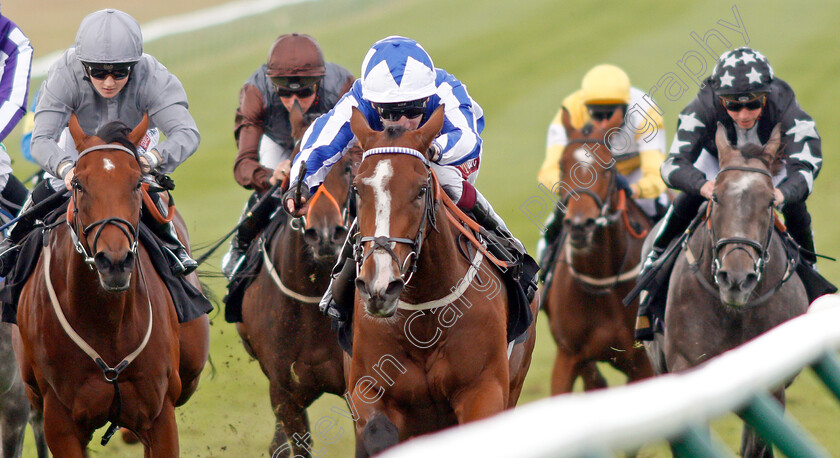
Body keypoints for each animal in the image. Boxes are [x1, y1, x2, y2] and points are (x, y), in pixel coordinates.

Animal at [13, 113, 210, 454]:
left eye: (137, 183)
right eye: (78, 184)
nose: (114, 262)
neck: (106, 322)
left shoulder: (159, 416)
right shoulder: (60, 423)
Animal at [346, 105, 540, 456]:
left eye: (421, 189)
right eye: (357, 189)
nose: (380, 285)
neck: (424, 317)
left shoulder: (483, 390)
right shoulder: (368, 390)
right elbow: (378, 431)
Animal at [648, 122, 808, 458]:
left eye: (770, 202)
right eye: (717, 198)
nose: (735, 278)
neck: (734, 314)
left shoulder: (769, 389)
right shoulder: (685, 369)